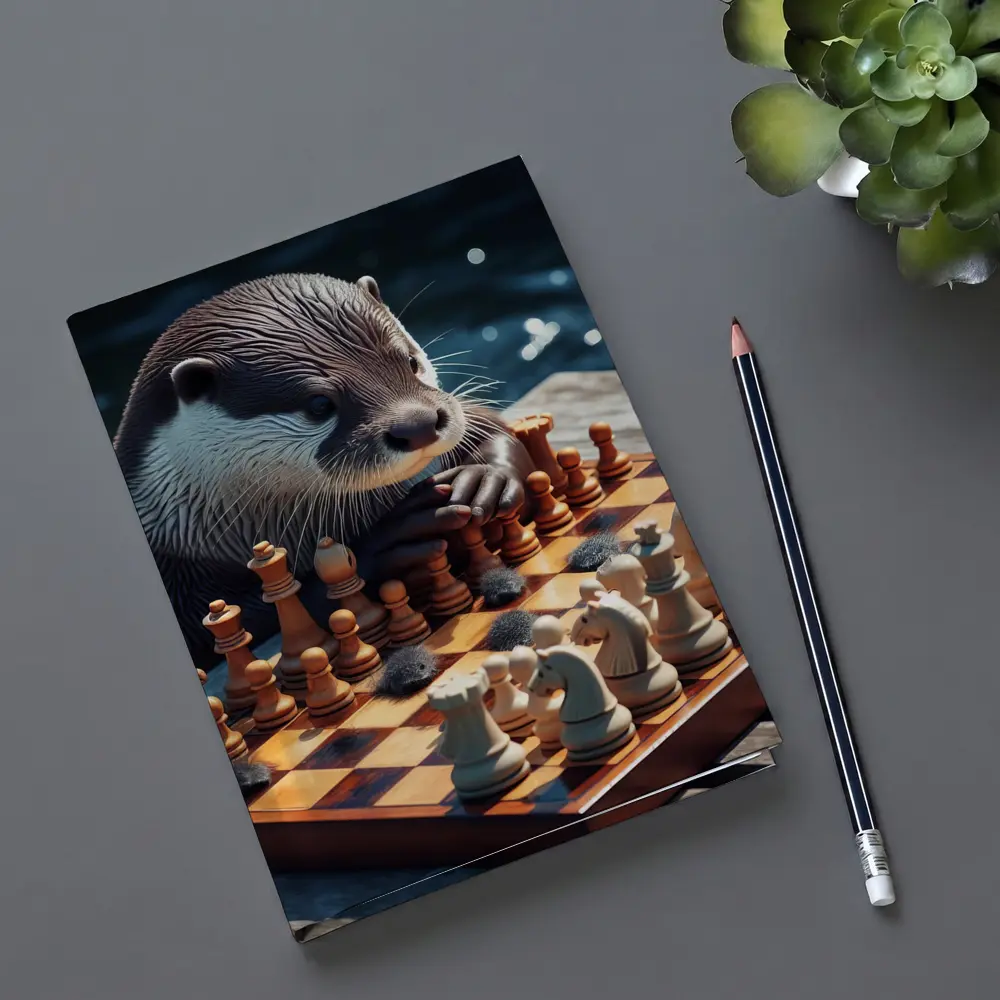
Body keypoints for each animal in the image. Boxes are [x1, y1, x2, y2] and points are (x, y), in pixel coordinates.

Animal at [114, 272, 534, 668]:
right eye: (318, 404)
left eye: (411, 361)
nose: (418, 425)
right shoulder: (180, 580)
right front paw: (387, 543)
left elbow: (494, 428)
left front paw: (483, 477)